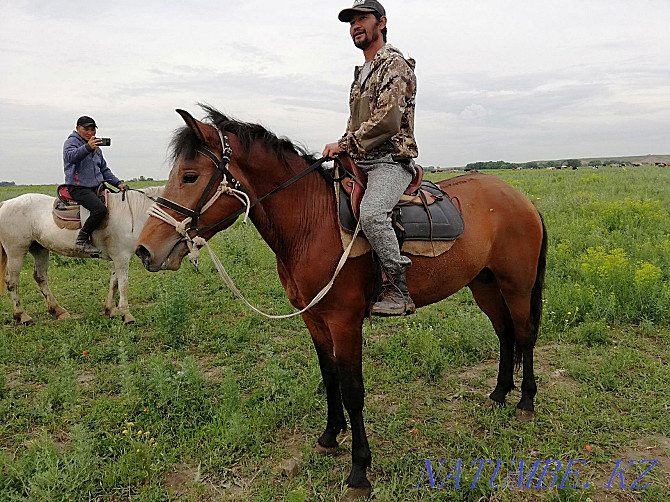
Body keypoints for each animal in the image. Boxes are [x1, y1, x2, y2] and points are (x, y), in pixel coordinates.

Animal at [0, 186, 165, 324]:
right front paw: (127, 315)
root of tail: (6, 203)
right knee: (11, 281)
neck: (131, 213)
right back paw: (22, 316)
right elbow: (123, 285)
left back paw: (58, 311)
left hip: (39, 249)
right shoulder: (122, 257)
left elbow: (114, 282)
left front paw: (110, 310)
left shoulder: (118, 257)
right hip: (16, 252)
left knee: (40, 277)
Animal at [134, 107, 548, 498]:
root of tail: (520, 198)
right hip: (484, 284)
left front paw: (359, 471)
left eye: (189, 176)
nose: (144, 250)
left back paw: (525, 403)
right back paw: (498, 394)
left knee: (525, 334)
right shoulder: (315, 319)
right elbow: (329, 376)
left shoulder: (344, 322)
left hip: (516, 284)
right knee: (505, 333)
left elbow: (353, 390)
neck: (312, 224)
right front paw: (330, 436)